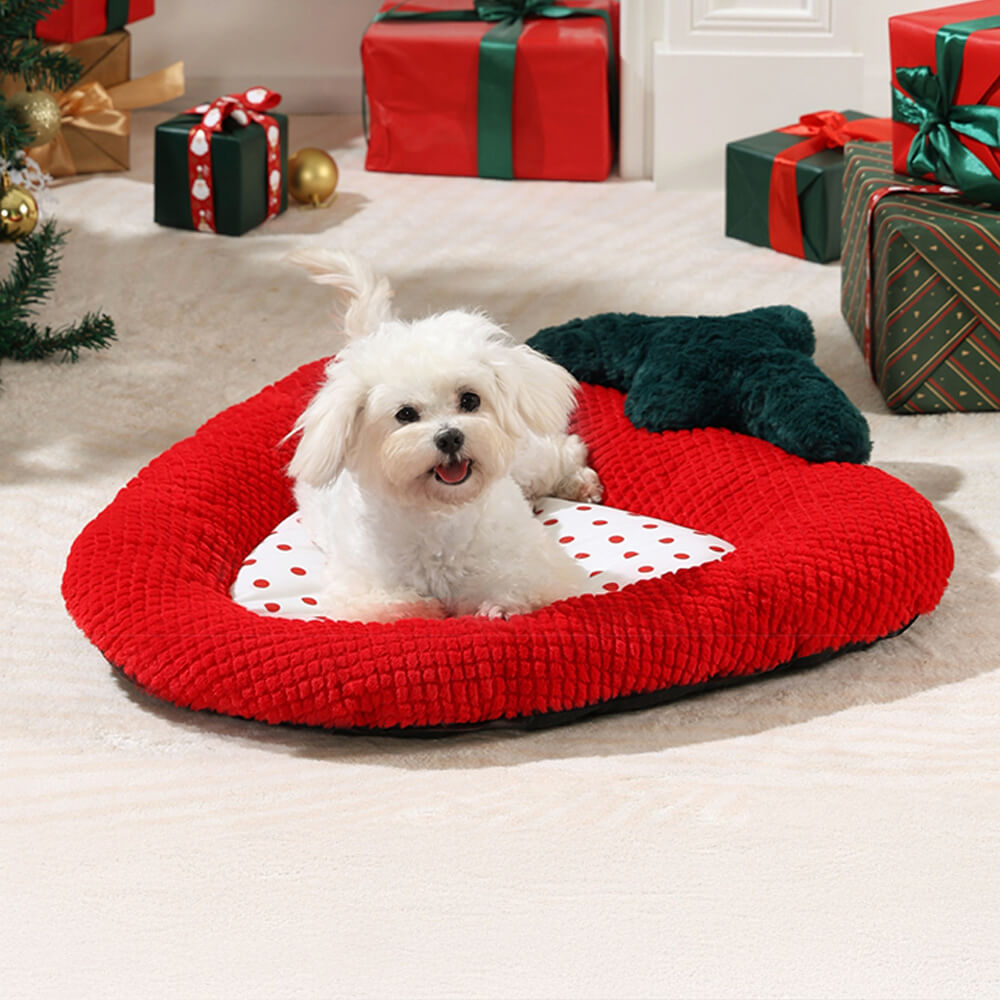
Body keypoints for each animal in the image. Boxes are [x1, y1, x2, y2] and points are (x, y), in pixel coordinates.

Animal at [286, 250, 604, 620]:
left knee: (563, 451)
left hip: (526, 457)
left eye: (470, 399)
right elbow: (403, 608)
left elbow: (524, 586)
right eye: (405, 414)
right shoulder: (359, 592)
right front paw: (434, 609)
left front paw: (498, 608)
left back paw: (580, 482)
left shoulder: (540, 568)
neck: (441, 517)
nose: (450, 437)